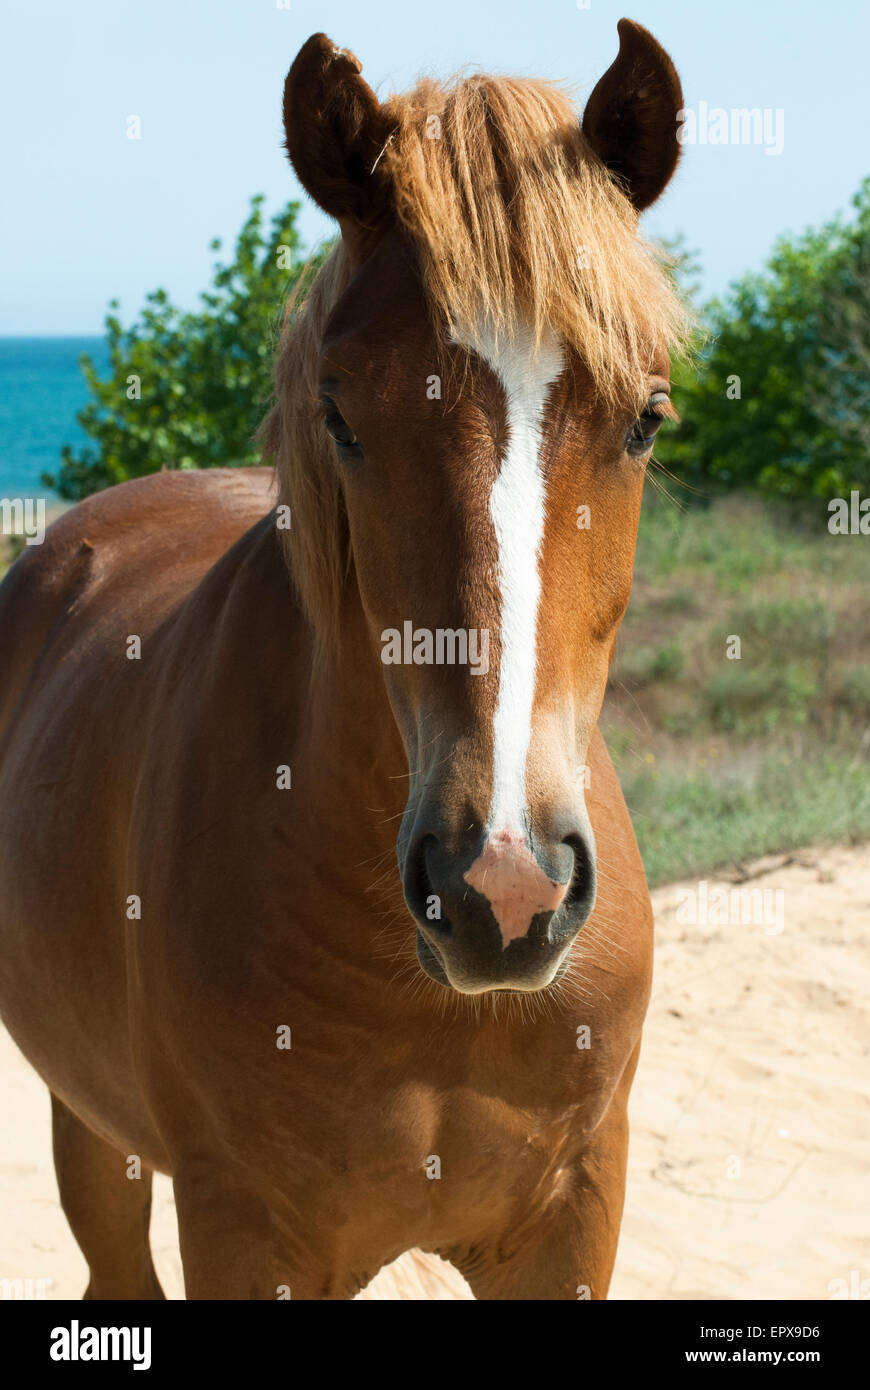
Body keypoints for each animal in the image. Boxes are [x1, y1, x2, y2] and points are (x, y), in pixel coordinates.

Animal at [0, 20, 689, 1299]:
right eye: (341, 418)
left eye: (647, 418)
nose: (503, 892)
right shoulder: (242, 1229)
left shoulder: (572, 1217)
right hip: (93, 1127)